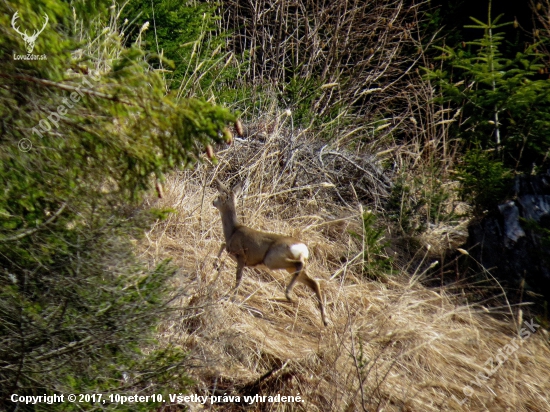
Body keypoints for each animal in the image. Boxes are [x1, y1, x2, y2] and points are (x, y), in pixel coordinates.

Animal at [213, 179, 330, 326]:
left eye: (219, 196)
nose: (213, 202)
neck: (233, 231)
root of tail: (303, 248)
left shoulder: (241, 255)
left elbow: (238, 278)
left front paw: (232, 299)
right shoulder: (233, 251)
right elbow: (222, 244)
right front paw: (215, 265)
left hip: (272, 259)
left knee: (300, 266)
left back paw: (288, 295)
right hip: (289, 267)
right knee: (314, 282)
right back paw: (325, 320)